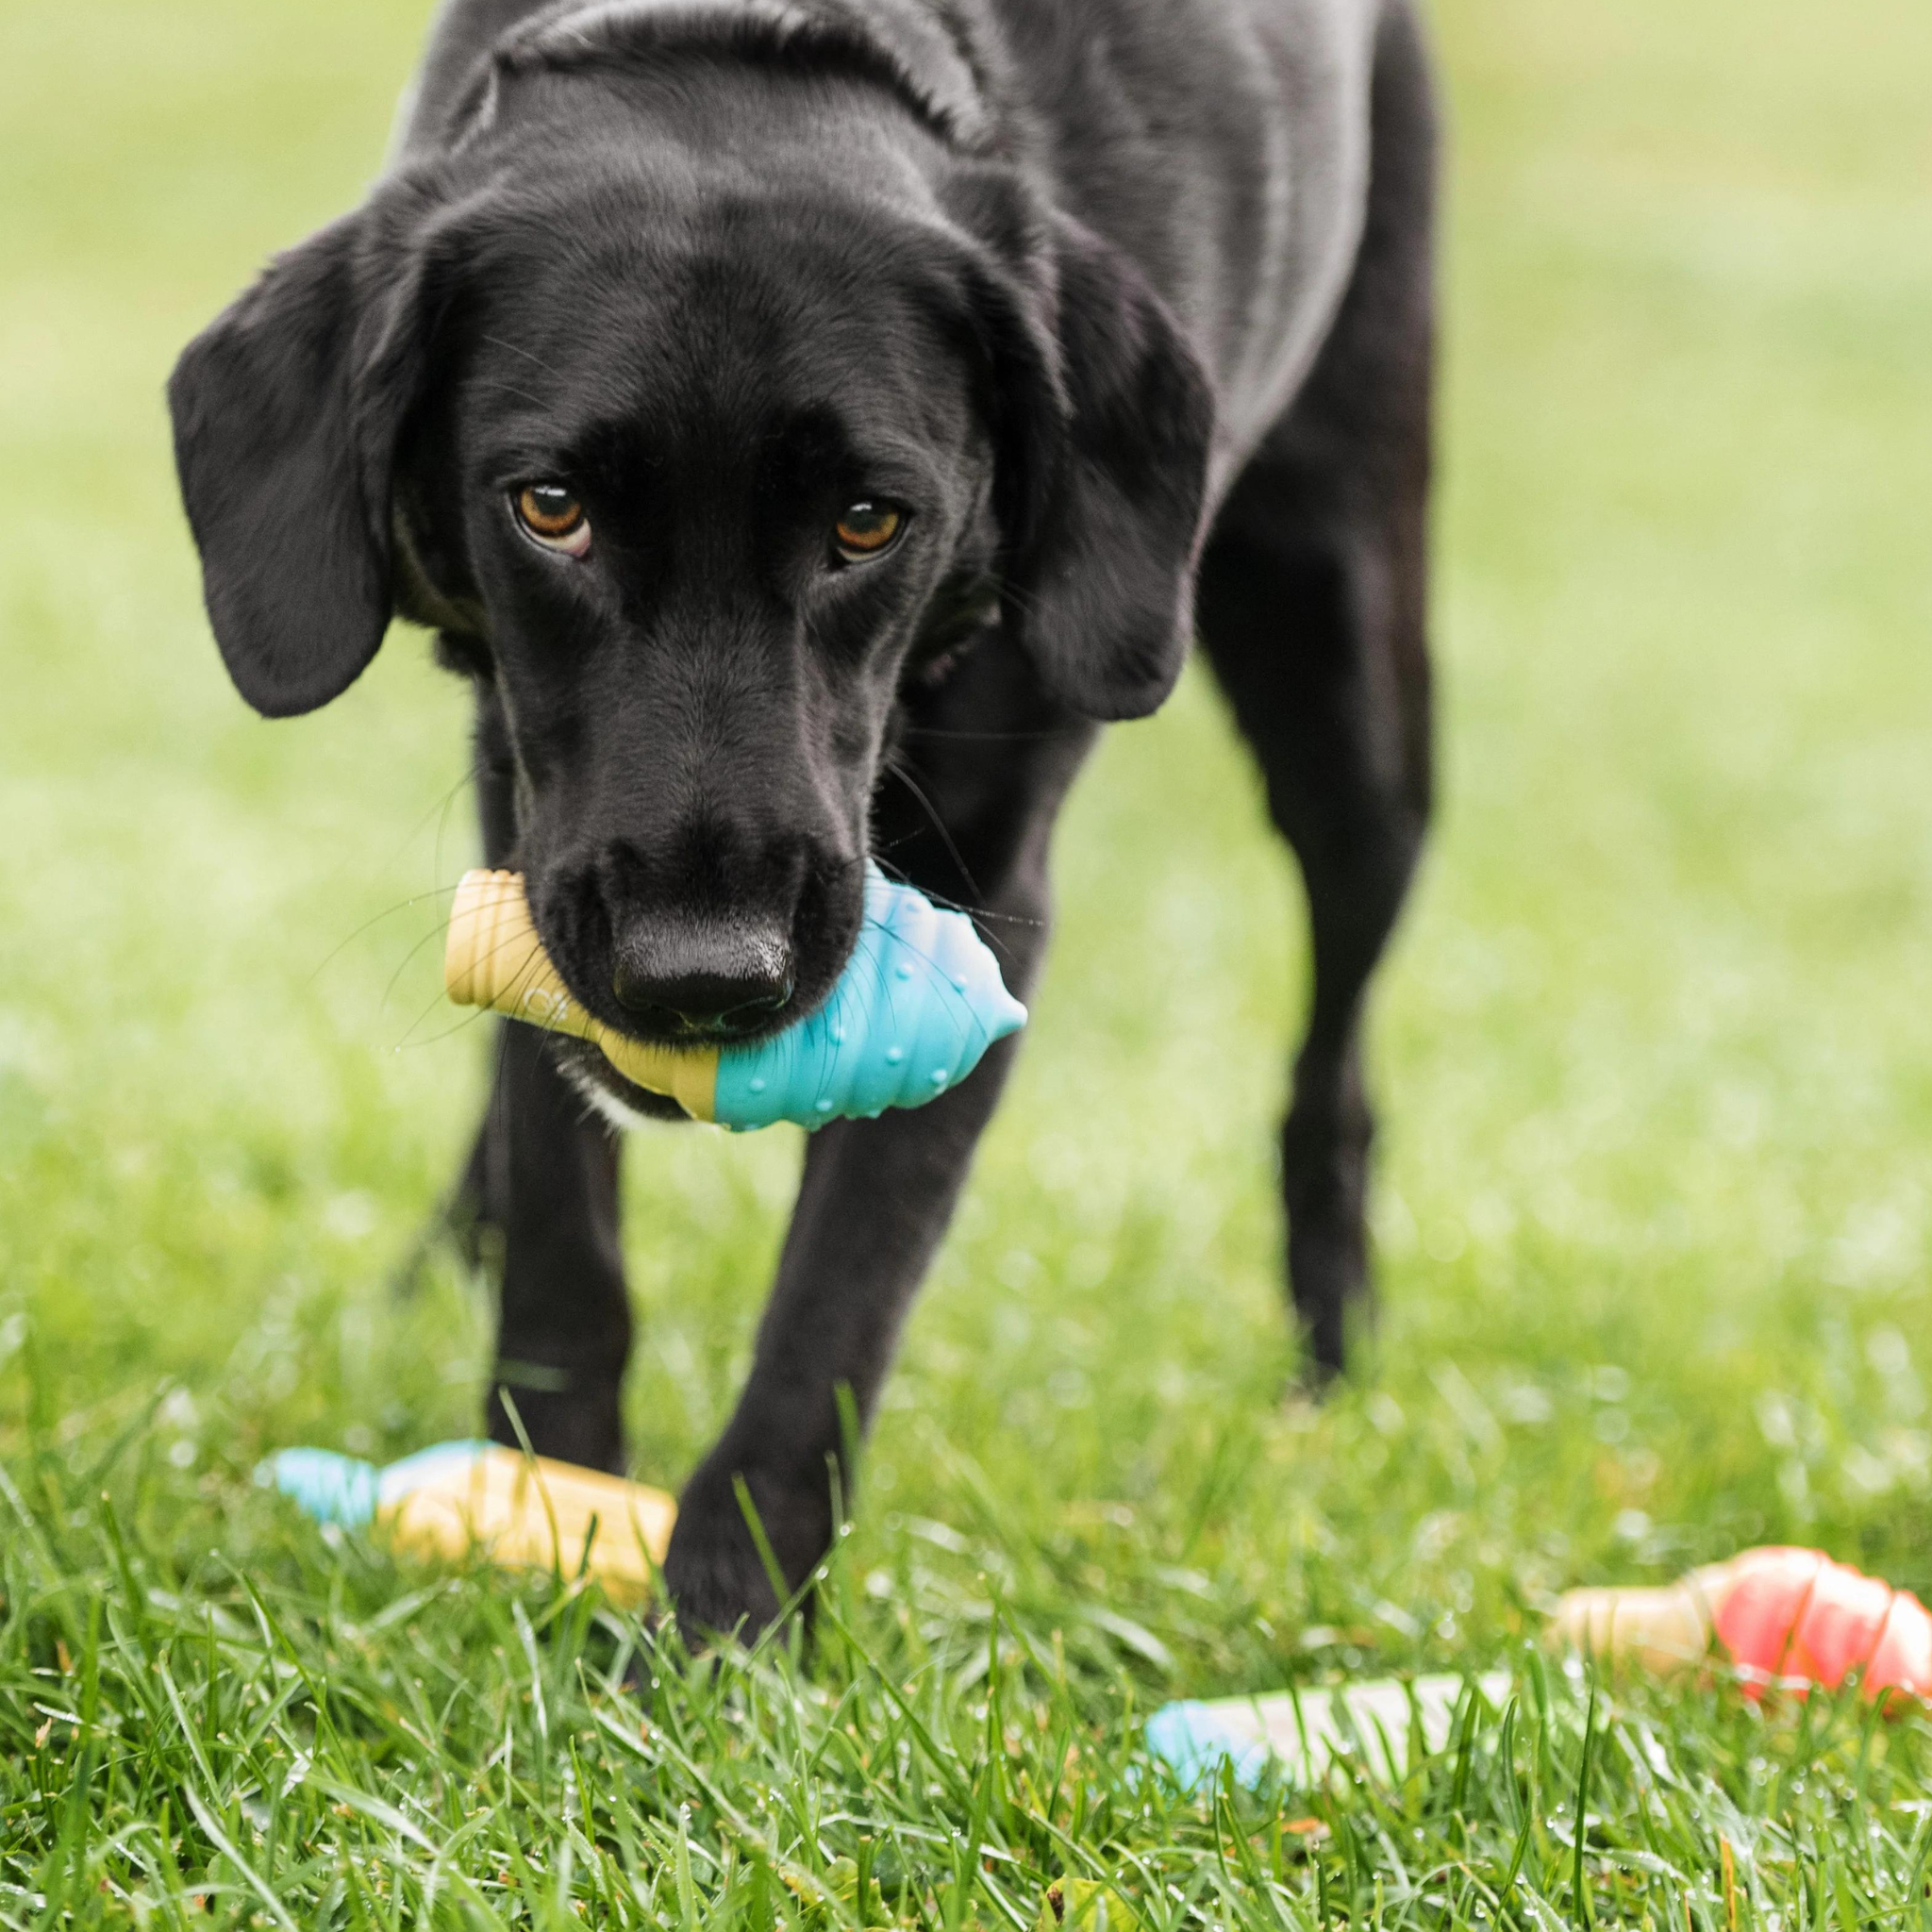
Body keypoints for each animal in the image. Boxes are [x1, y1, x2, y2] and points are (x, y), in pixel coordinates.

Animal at [170, 0, 1437, 1630]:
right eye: (551, 508)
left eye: (868, 522)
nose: (705, 972)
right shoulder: (526, 799)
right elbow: (564, 1211)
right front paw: (545, 1500)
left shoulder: (990, 890)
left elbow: (834, 1305)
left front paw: (716, 1628)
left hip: (1348, 681)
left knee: (1334, 1061)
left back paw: (1326, 1367)